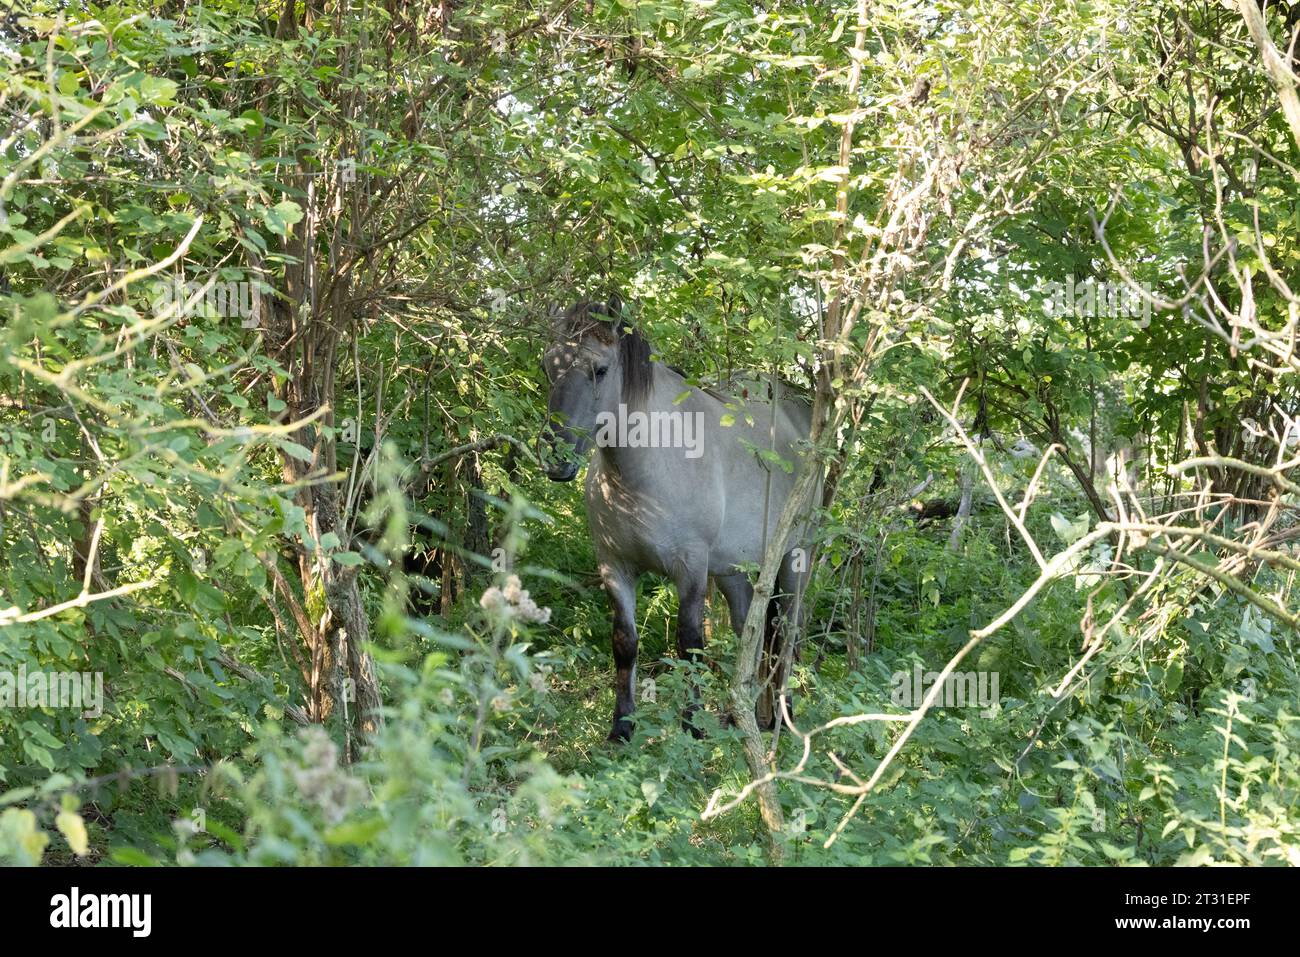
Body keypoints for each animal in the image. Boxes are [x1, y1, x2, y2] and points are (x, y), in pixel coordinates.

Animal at [538, 297, 811, 738]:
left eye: (601, 369)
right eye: (548, 366)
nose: (555, 457)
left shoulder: (691, 568)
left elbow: (690, 644)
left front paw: (691, 725)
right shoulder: (614, 566)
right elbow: (625, 643)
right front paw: (622, 726)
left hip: (795, 556)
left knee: (786, 635)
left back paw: (782, 718)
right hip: (732, 569)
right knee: (747, 634)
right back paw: (741, 717)